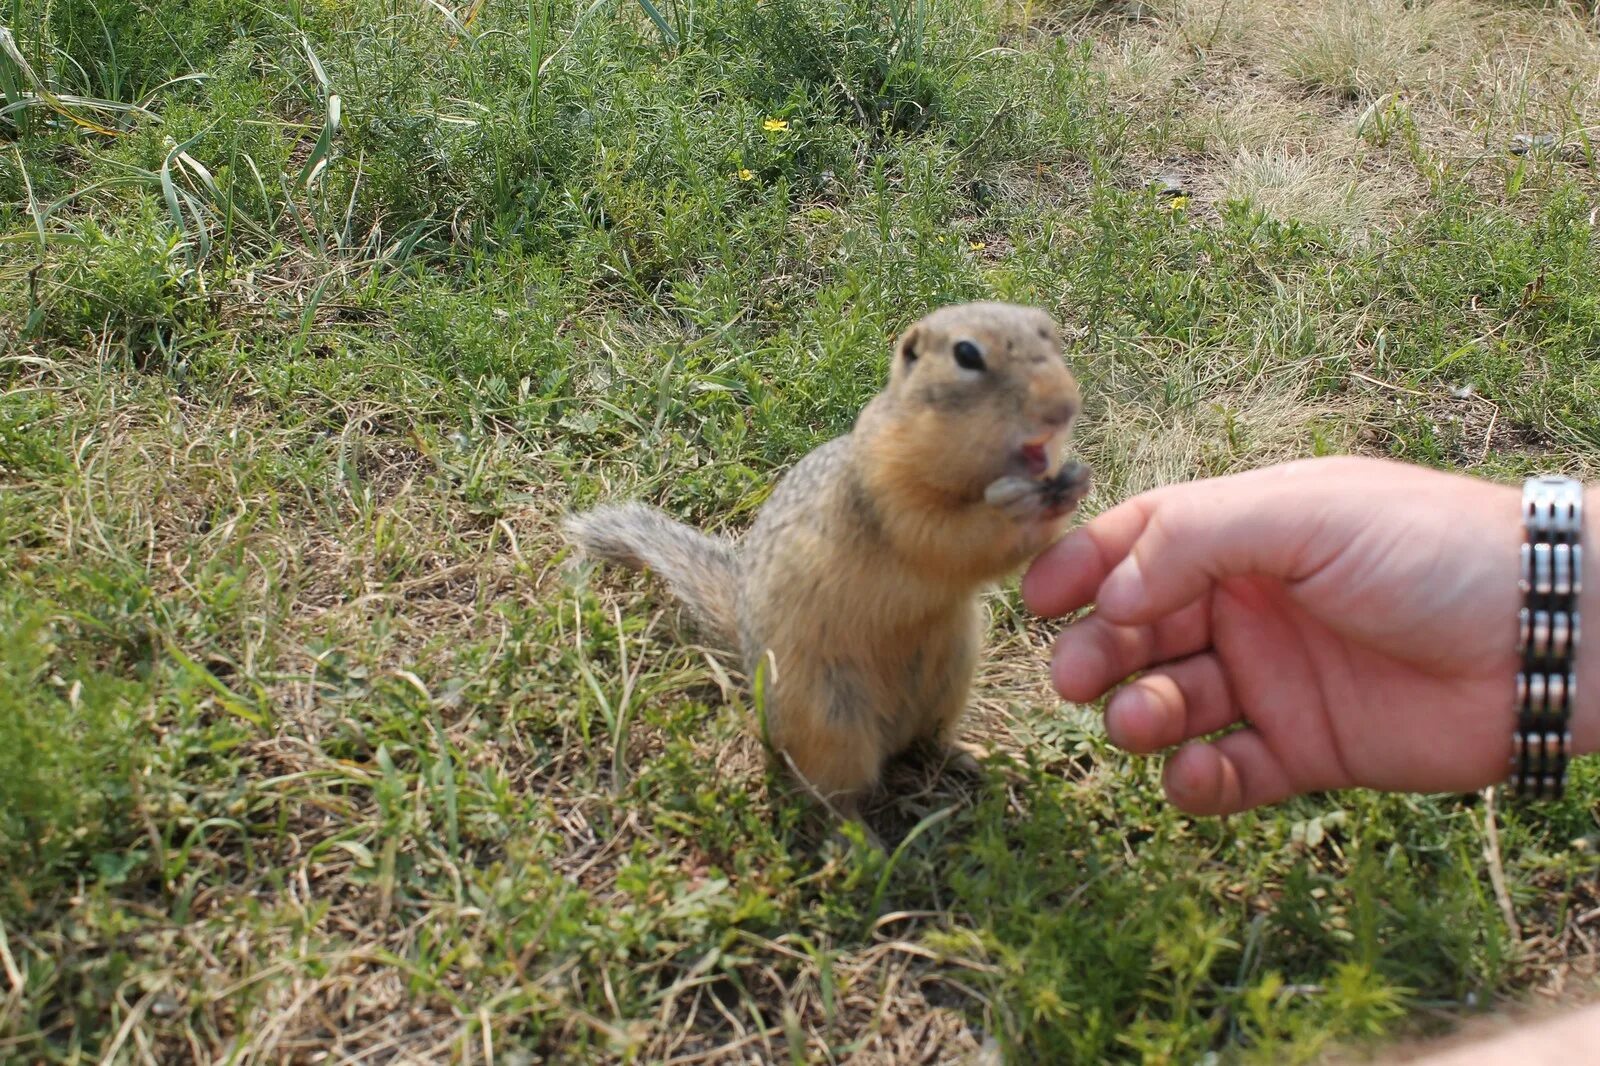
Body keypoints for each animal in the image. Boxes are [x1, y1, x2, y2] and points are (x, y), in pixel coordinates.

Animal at [563, 299, 1088, 832]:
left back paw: (977, 757)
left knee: (928, 743)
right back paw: (861, 839)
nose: (1064, 407)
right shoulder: (888, 490)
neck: (972, 477)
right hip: (832, 723)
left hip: (950, 679)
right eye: (967, 354)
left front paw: (1072, 485)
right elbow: (947, 537)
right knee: (834, 796)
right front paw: (1018, 507)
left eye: (1049, 332)